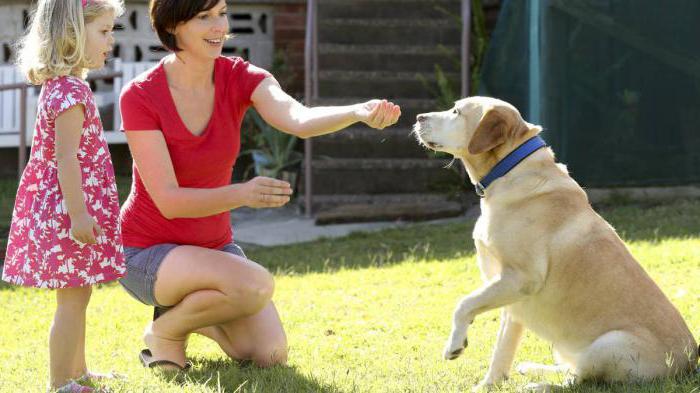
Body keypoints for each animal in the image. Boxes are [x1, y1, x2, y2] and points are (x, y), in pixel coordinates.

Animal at [412, 97, 696, 388]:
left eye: (456, 111)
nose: (419, 117)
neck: (509, 171)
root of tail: (689, 362)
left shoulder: (522, 279)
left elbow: (464, 304)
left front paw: (454, 345)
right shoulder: (511, 297)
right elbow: (502, 349)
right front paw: (489, 385)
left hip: (608, 344)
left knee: (578, 380)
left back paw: (539, 386)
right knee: (571, 369)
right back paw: (533, 369)